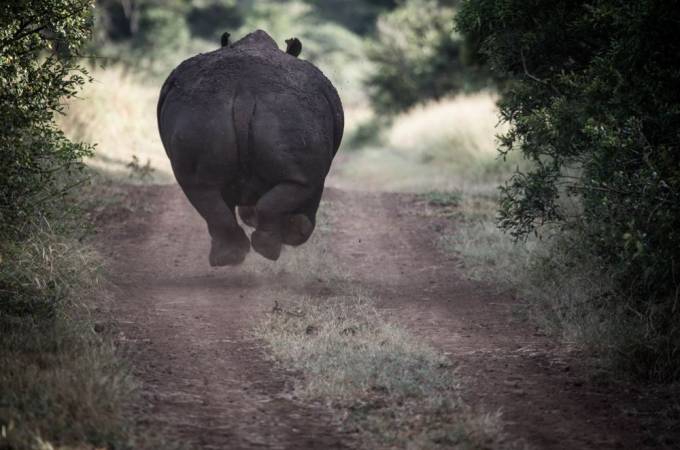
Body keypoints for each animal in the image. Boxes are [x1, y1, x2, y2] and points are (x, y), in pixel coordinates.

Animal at [157, 29, 342, 266]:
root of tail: (244, 93)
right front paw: (289, 230)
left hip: (201, 114)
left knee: (197, 186)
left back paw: (228, 256)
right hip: (287, 113)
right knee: (303, 183)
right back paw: (267, 247)